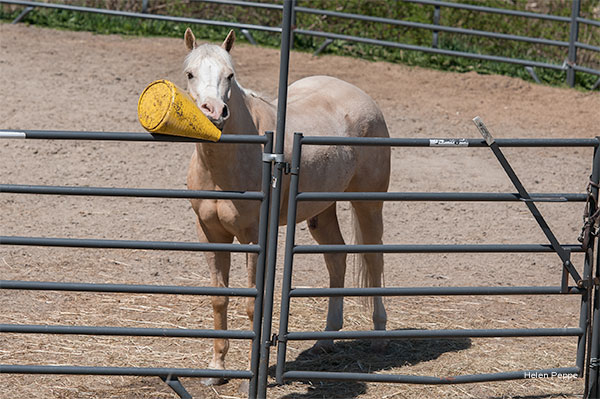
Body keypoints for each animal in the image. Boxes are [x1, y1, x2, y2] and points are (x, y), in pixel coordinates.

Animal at [183, 27, 392, 384]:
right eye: (190, 73)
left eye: (230, 75)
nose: (214, 111)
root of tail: (363, 97)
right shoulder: (210, 234)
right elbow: (218, 299)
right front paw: (216, 368)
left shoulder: (255, 236)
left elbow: (253, 303)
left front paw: (253, 370)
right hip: (321, 210)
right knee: (337, 260)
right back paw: (326, 341)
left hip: (368, 205)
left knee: (374, 260)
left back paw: (379, 337)